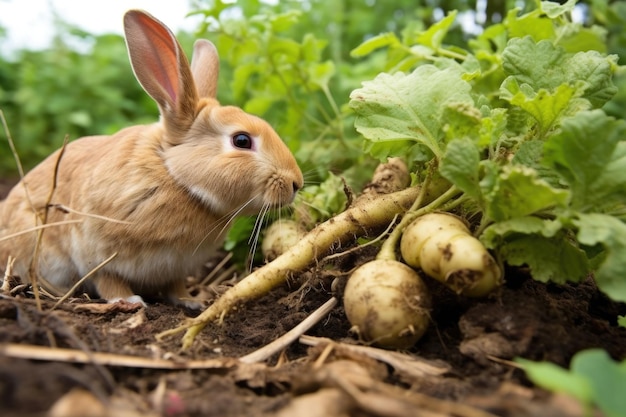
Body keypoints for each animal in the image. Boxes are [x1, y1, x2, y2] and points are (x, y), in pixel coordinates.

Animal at [0, 9, 302, 308]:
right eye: (241, 141)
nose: (296, 183)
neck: (174, 176)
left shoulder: (175, 268)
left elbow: (175, 286)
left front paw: (192, 302)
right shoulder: (95, 255)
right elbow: (108, 281)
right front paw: (130, 301)